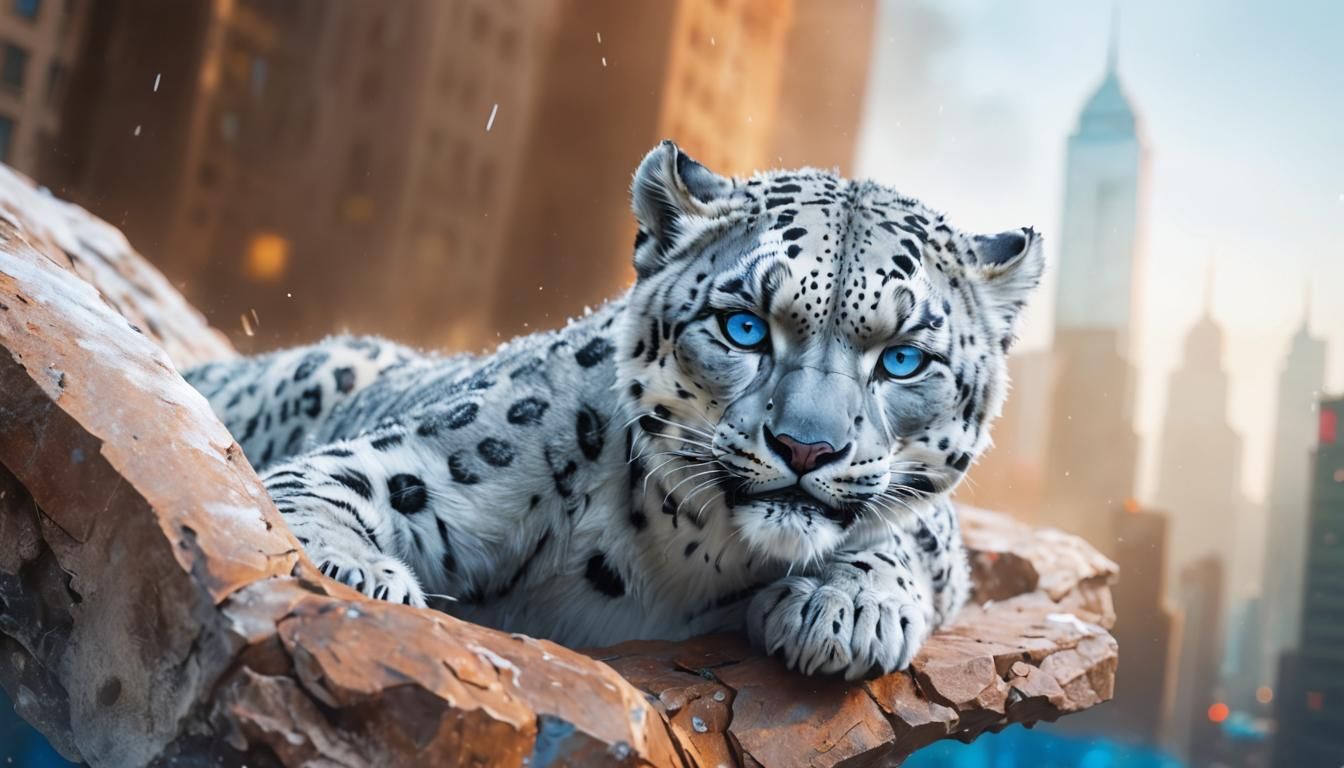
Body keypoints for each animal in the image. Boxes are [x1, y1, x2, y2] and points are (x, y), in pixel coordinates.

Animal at [185, 141, 1045, 679]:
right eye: (744, 326)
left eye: (902, 357)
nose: (805, 448)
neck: (683, 561)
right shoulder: (425, 461)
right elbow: (328, 485)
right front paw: (361, 573)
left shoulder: (935, 539)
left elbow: (906, 535)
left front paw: (847, 610)